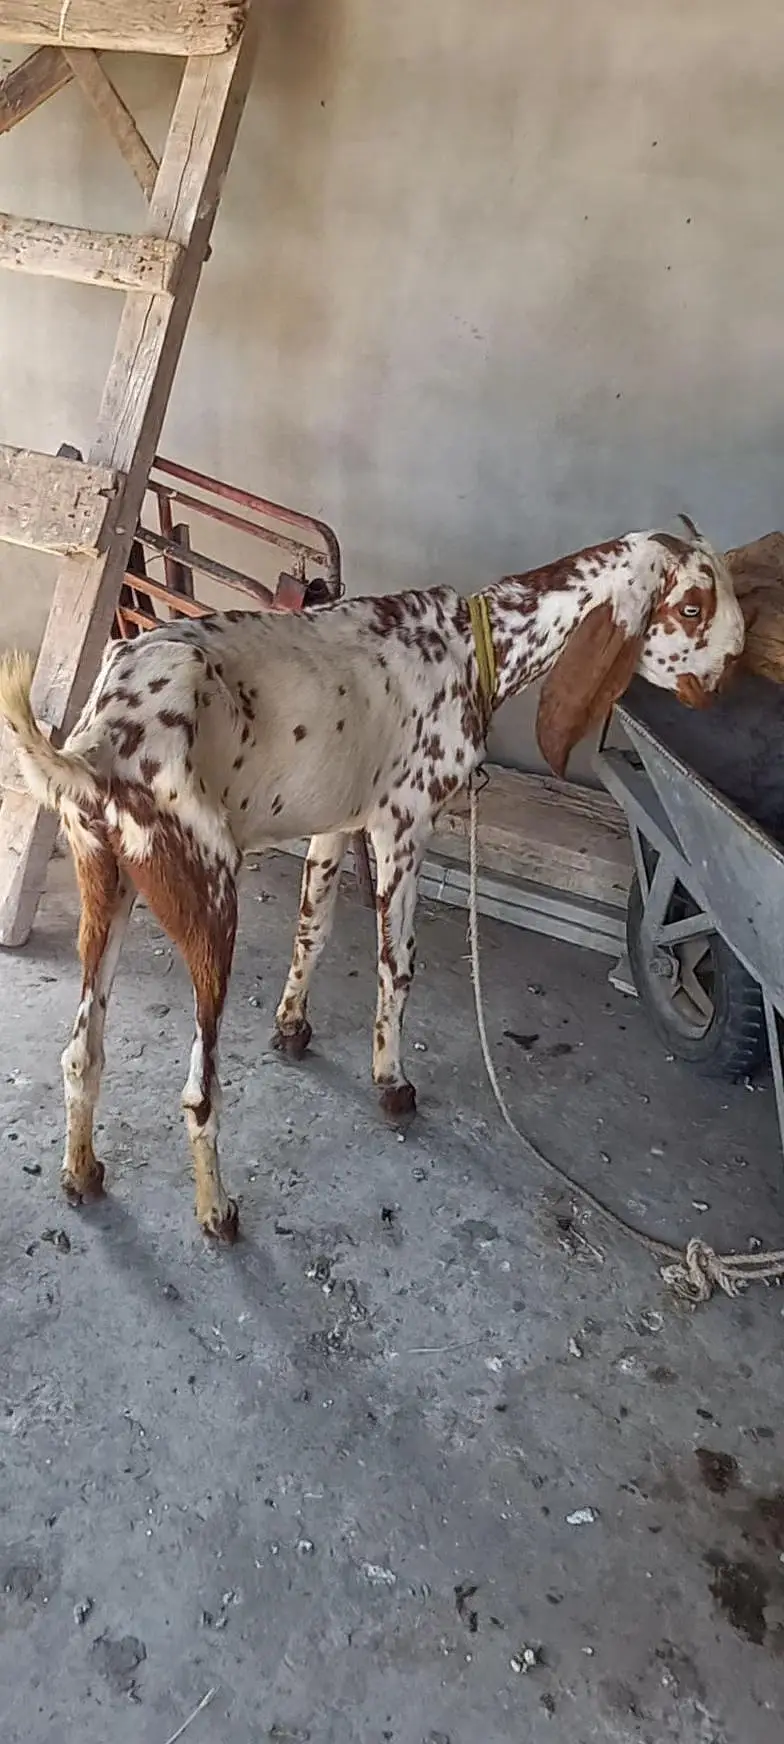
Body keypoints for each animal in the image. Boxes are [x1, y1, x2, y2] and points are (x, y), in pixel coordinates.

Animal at [0, 523, 744, 1241]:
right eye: (691, 607)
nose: (733, 670)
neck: (474, 646)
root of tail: (102, 743)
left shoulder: (335, 825)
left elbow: (314, 929)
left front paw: (293, 1026)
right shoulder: (403, 826)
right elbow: (397, 962)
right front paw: (391, 1080)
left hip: (108, 888)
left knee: (81, 1053)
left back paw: (82, 1173)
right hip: (209, 899)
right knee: (199, 1091)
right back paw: (217, 1213)